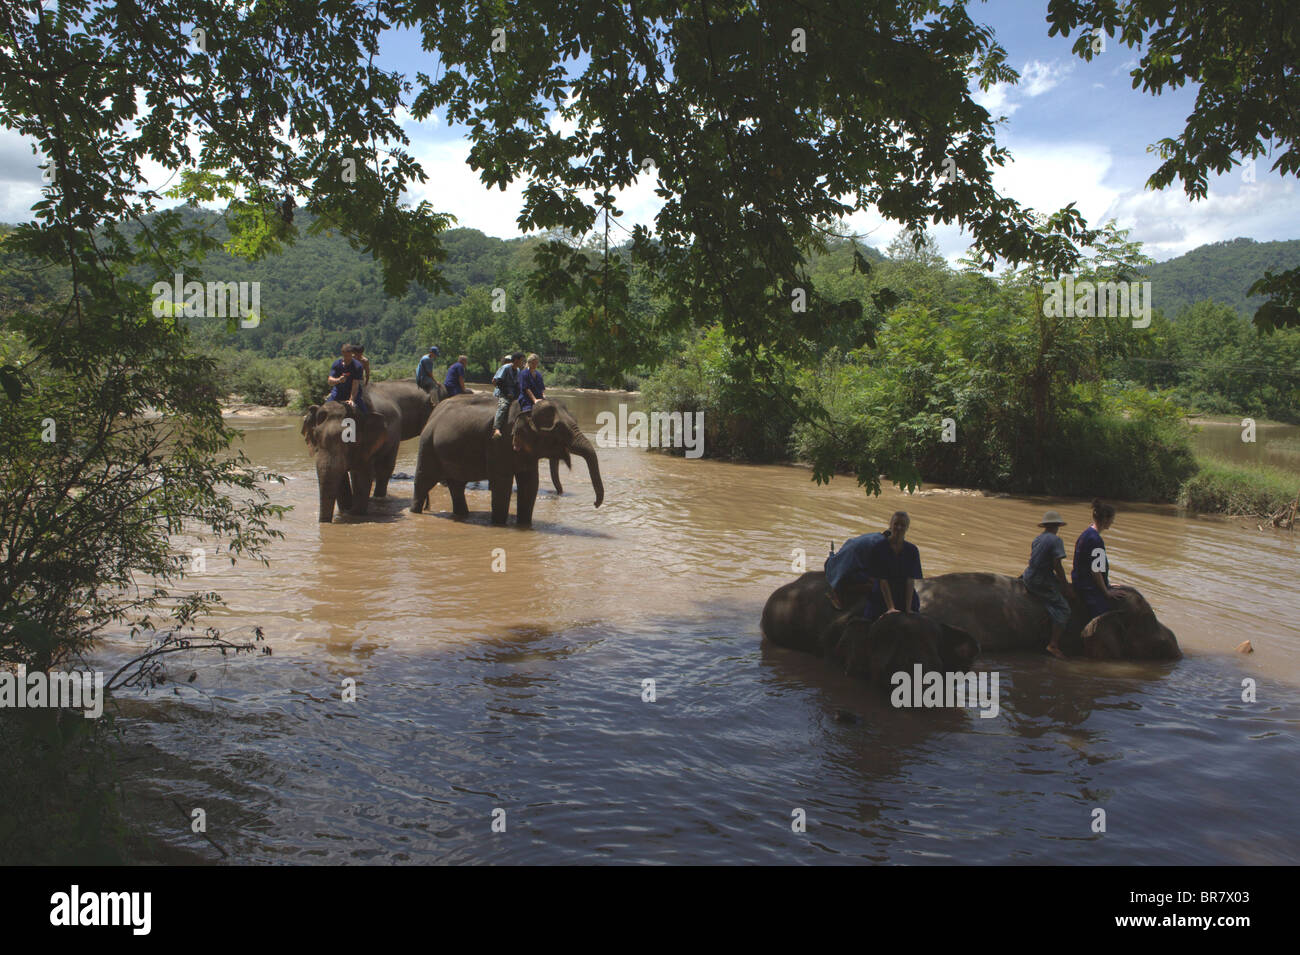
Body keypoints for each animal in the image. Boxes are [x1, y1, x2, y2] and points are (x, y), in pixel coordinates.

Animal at [302, 379, 447, 522]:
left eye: (349, 437)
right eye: (315, 437)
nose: (324, 522)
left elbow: (361, 475)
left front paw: (354, 514)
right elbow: (341, 477)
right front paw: (346, 511)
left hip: (394, 436)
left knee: (385, 468)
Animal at [410, 397, 603, 530]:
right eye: (558, 429)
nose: (595, 504)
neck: (525, 409)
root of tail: (433, 414)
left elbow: (530, 483)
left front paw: (524, 525)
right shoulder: (498, 443)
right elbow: (502, 484)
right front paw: (499, 524)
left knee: (456, 485)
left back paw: (462, 515)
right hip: (427, 445)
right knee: (423, 480)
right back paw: (414, 512)